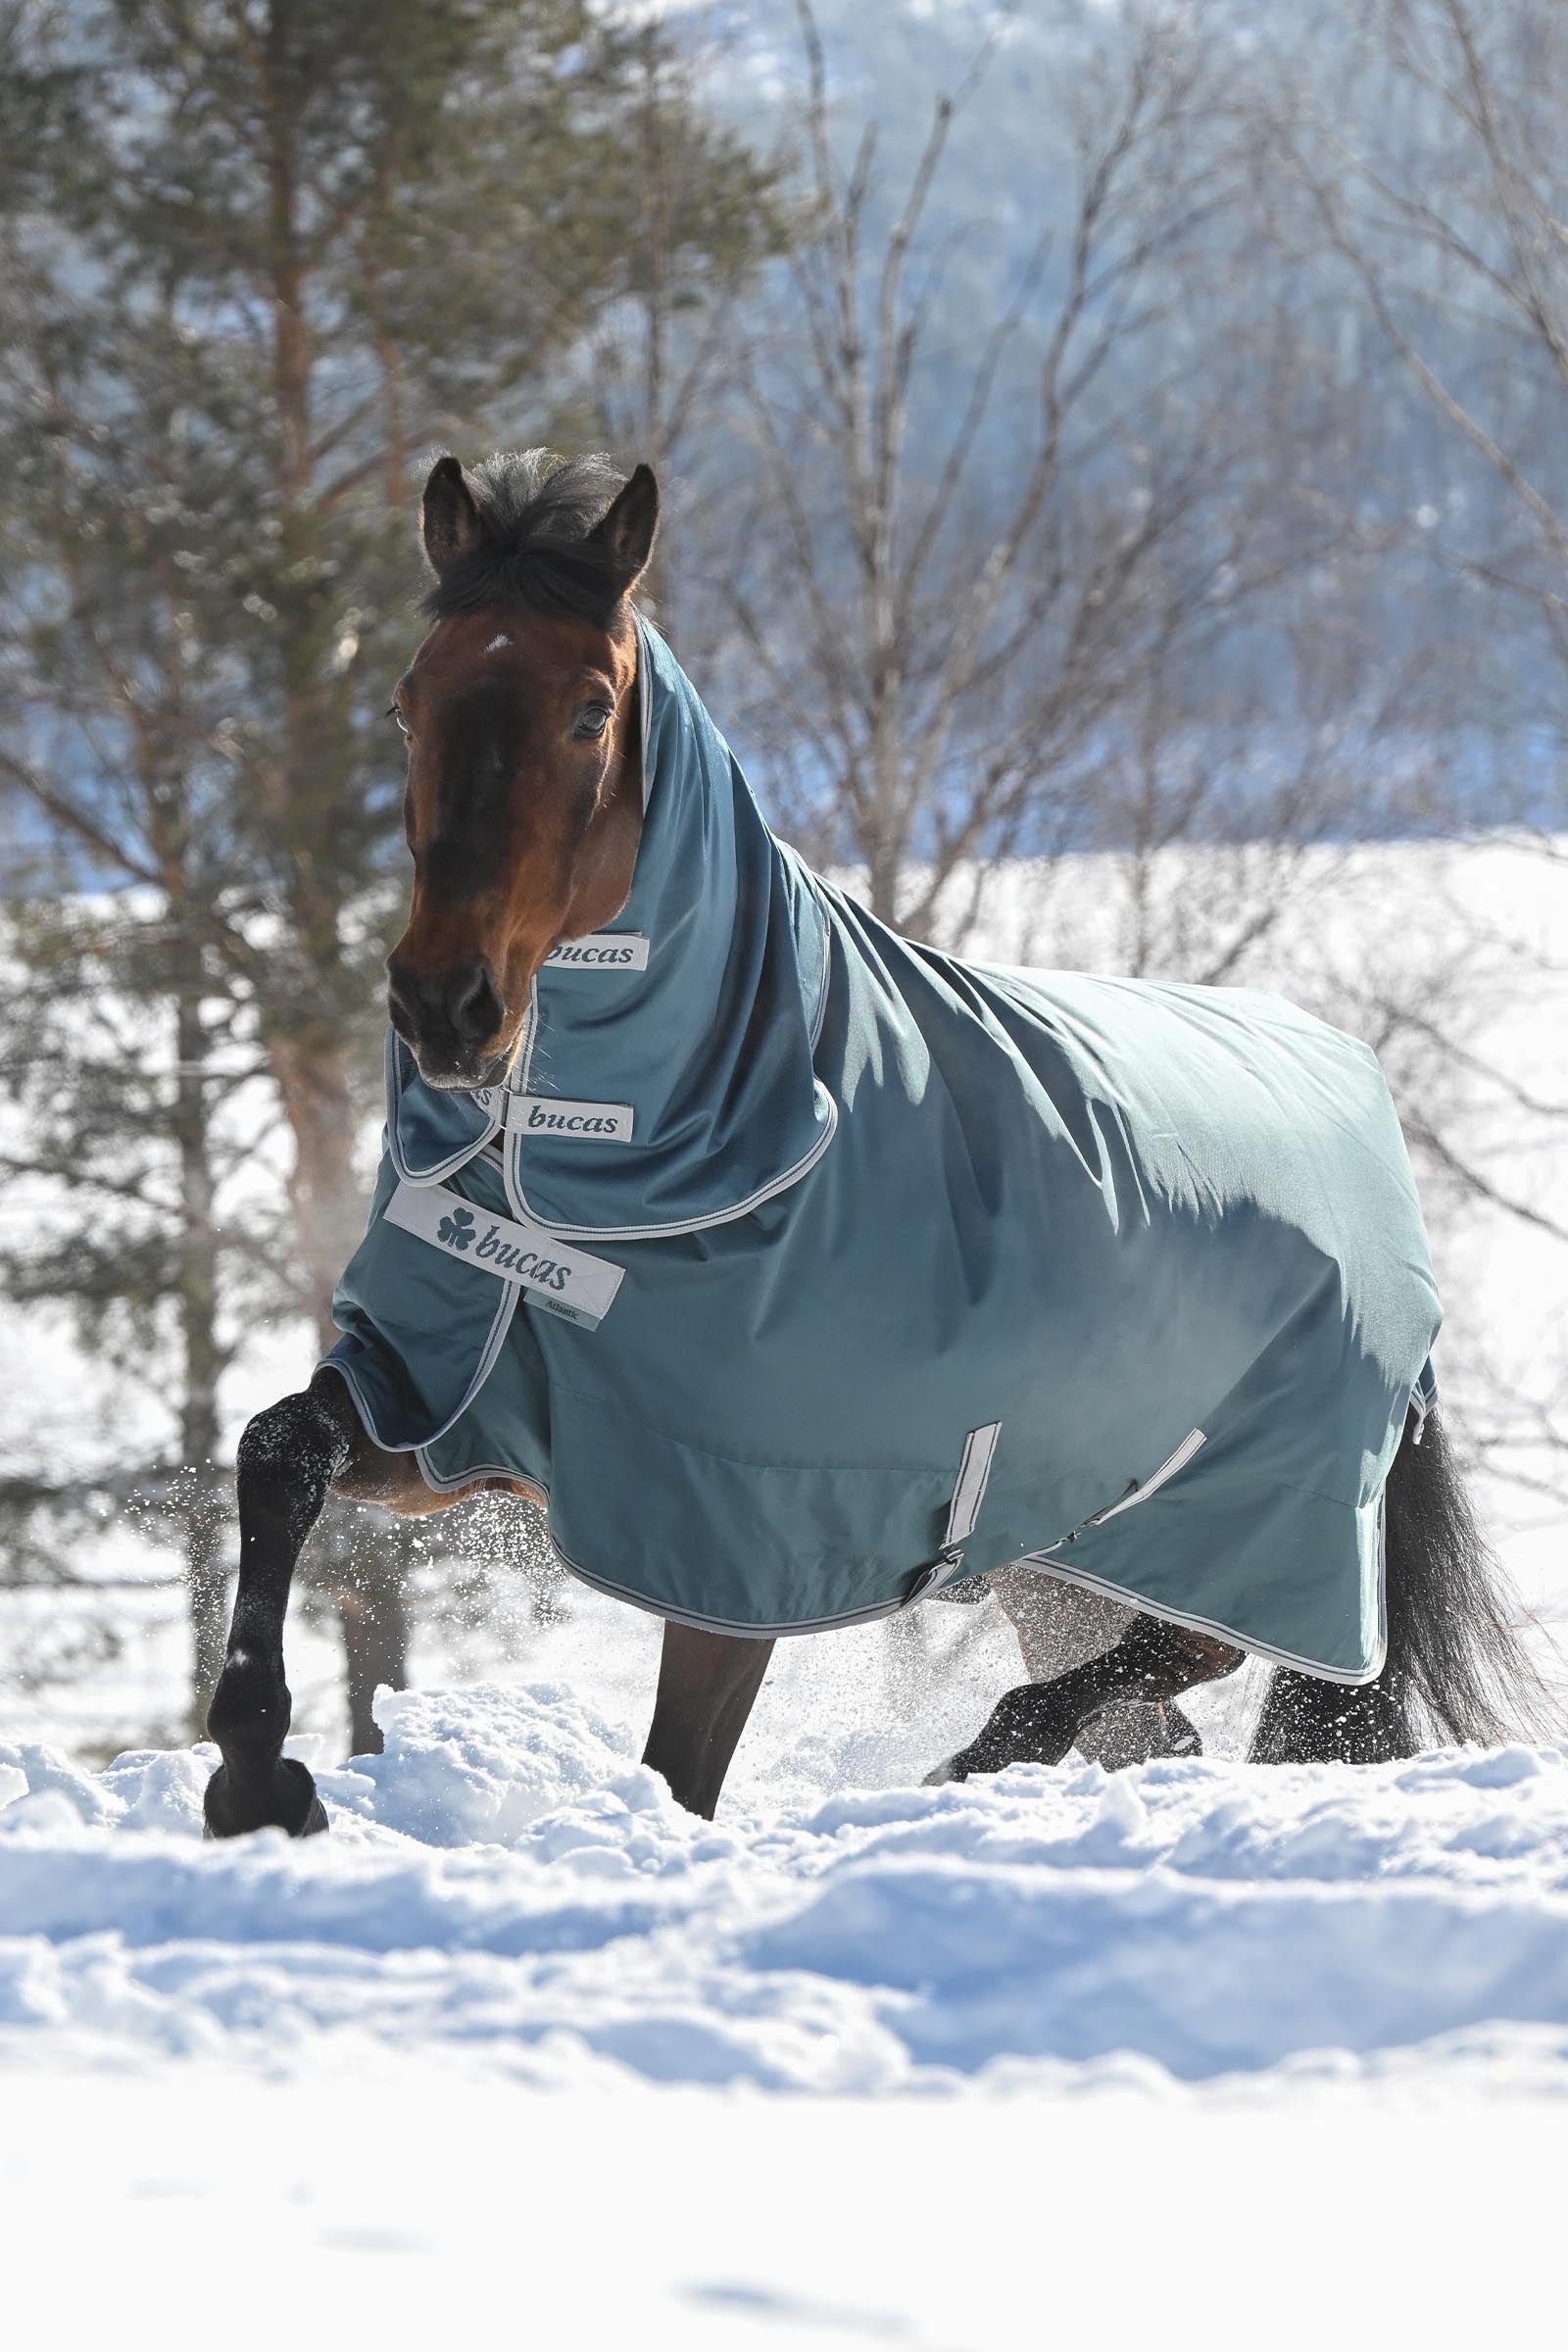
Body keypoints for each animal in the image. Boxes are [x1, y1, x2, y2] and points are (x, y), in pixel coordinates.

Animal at [202, 449, 1545, 1839]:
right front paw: (256, 1778)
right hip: (1059, 1556)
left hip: (1230, 1528)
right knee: (1149, 1708)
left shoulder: (739, 1537)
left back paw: (973, 1761)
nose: (444, 1007)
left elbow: (681, 1779)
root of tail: (1357, 1097)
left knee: (1190, 1659)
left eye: (588, 710)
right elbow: (276, 1452)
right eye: (409, 705)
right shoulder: (451, 1400)